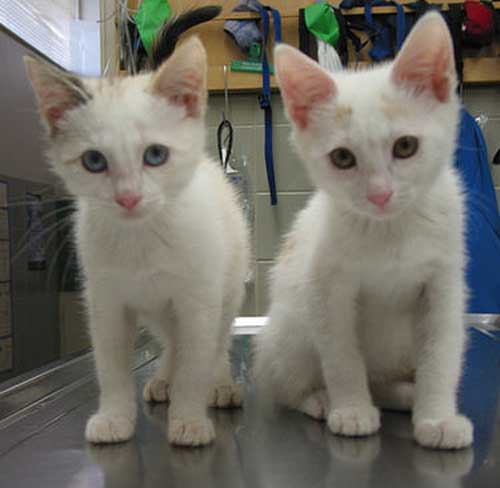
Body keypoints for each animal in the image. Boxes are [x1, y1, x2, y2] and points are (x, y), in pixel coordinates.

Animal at [26, 38, 249, 448]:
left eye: (155, 155)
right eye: (94, 161)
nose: (128, 198)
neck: (142, 237)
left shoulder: (198, 300)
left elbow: (197, 359)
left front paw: (189, 419)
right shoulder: (105, 301)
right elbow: (111, 364)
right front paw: (114, 416)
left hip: (227, 287)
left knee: (216, 340)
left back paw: (221, 383)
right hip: (157, 310)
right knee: (172, 339)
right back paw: (163, 379)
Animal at [256, 12, 474, 450]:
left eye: (406, 146)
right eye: (342, 157)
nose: (380, 194)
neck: (390, 229)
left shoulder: (444, 283)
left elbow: (441, 351)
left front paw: (438, 416)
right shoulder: (326, 286)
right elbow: (341, 355)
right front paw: (352, 409)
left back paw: (403, 393)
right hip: (289, 325)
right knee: (286, 382)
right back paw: (318, 398)